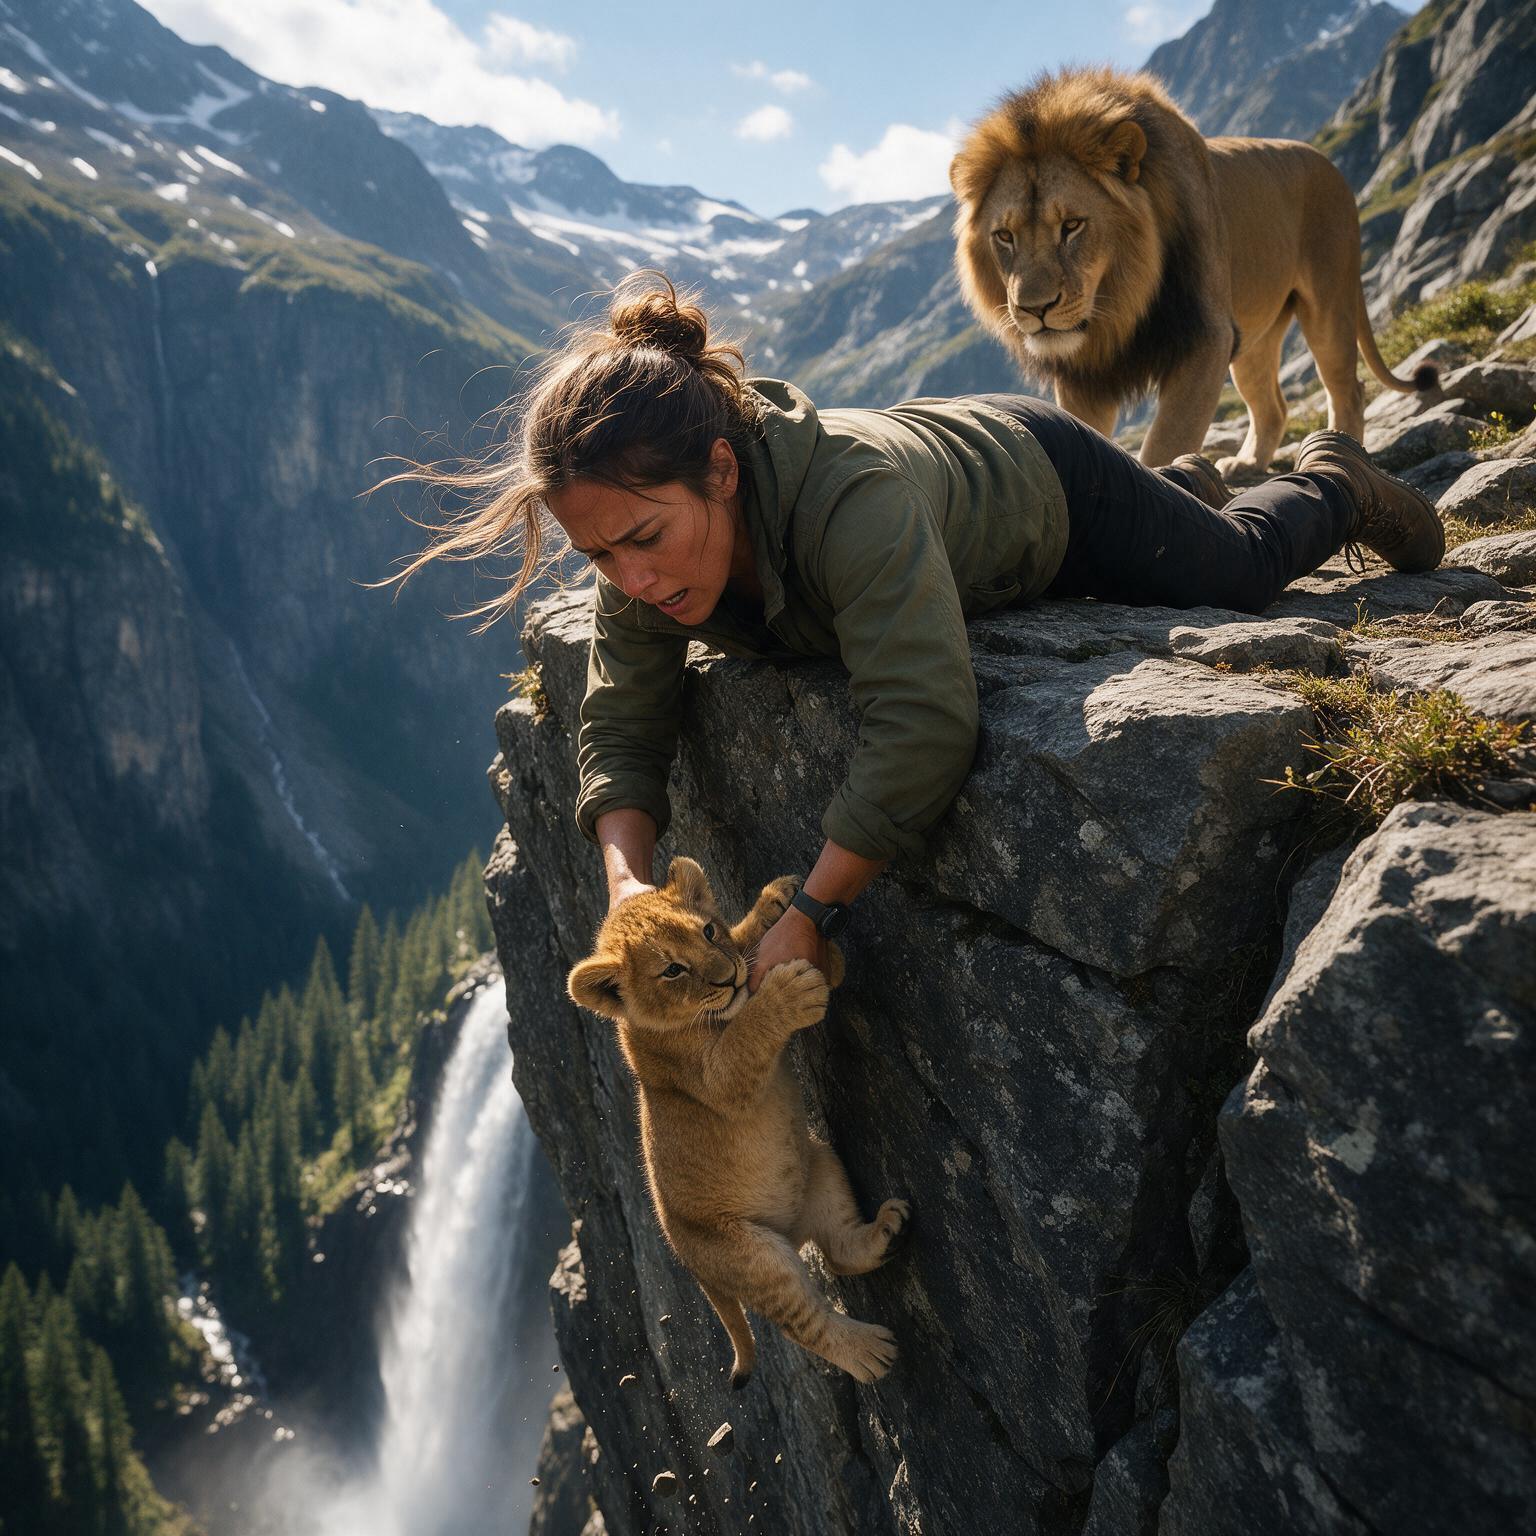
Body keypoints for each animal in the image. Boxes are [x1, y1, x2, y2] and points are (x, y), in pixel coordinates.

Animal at [567, 857, 909, 1386]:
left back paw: (884, 1234)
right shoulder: (716, 1080)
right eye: (672, 970)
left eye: (707, 932)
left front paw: (777, 905)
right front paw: (789, 991)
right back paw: (868, 1352)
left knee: (837, 1248)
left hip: (819, 1161)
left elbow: (751, 947)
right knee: (799, 1321)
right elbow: (746, 1036)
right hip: (751, 1253)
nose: (727, 978)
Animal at [950, 66, 1436, 476]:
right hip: (1254, 339)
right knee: (1272, 405)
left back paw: (1343, 458)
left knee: (1347, 388)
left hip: (1328, 304)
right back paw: (1247, 464)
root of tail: (1328, 164)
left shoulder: (1205, 338)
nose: (1035, 309)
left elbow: (1167, 439)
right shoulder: (1085, 375)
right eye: (1004, 236)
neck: (1119, 307)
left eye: (1071, 225)